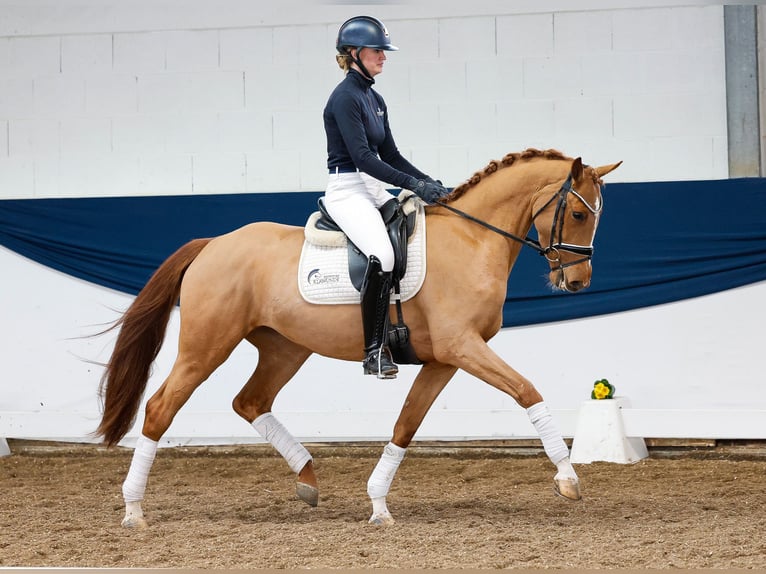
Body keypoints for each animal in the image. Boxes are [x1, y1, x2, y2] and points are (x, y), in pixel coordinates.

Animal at [97, 150, 624, 532]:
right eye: (579, 214)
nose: (578, 282)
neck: (473, 240)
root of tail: (213, 243)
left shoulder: (445, 359)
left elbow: (406, 424)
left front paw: (378, 504)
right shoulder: (462, 347)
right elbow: (527, 391)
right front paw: (568, 478)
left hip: (286, 347)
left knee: (250, 401)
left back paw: (307, 478)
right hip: (206, 346)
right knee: (161, 408)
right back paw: (133, 511)